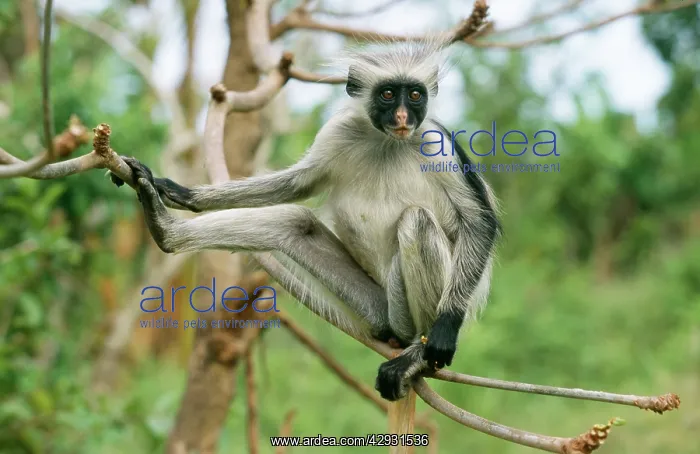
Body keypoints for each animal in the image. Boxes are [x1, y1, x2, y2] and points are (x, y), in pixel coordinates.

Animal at [110, 39, 501, 401]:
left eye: (416, 95)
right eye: (389, 94)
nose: (404, 116)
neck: (387, 140)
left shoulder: (438, 144)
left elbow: (479, 222)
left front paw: (443, 334)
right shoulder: (339, 131)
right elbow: (297, 185)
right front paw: (180, 192)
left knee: (417, 220)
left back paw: (417, 353)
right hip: (377, 305)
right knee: (294, 221)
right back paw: (165, 230)